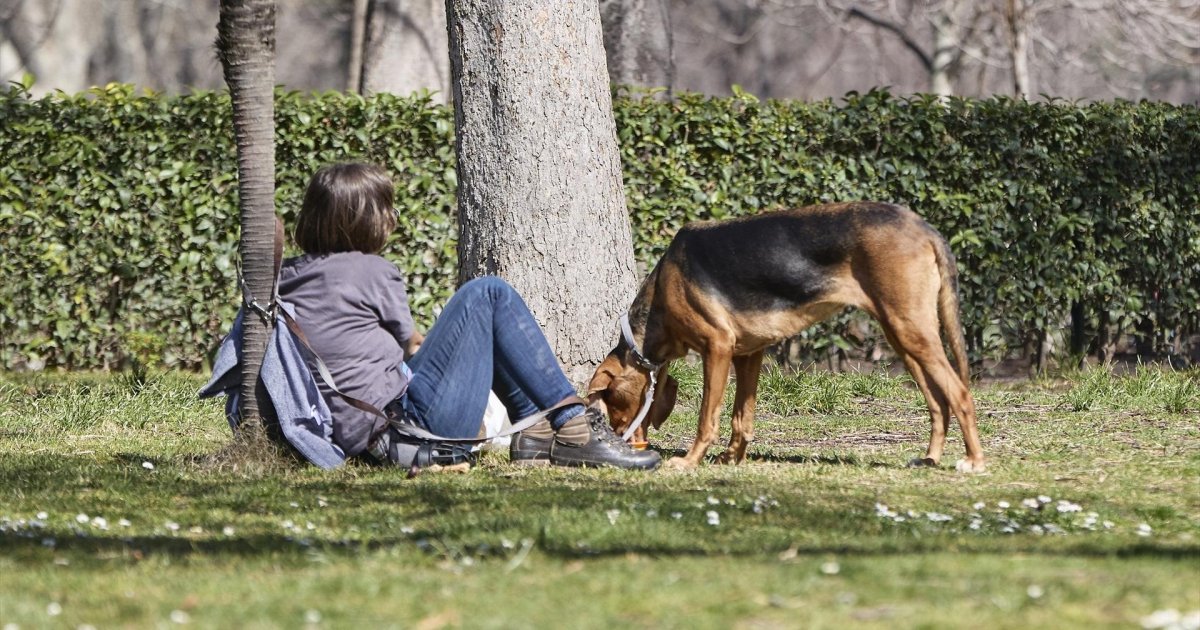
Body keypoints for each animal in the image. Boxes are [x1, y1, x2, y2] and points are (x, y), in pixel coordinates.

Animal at [585, 201, 988, 470]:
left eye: (611, 400)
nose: (624, 440)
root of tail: (924, 227)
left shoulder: (718, 349)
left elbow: (707, 418)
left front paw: (690, 461)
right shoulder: (748, 354)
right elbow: (741, 417)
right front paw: (732, 457)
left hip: (911, 330)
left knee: (960, 393)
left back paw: (973, 461)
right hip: (902, 336)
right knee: (938, 402)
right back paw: (930, 458)